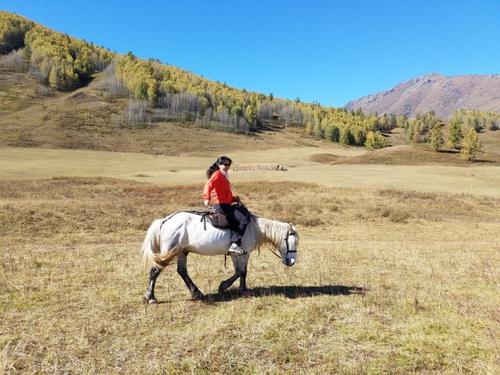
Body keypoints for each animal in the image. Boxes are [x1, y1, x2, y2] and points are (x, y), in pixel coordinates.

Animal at [139, 213, 298, 304]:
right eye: (293, 241)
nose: (292, 262)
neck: (254, 229)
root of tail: (165, 220)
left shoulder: (235, 254)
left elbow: (238, 272)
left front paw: (228, 287)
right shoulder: (244, 254)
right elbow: (243, 272)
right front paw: (239, 289)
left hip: (182, 252)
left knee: (182, 271)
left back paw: (197, 293)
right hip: (169, 252)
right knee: (155, 271)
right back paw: (150, 297)